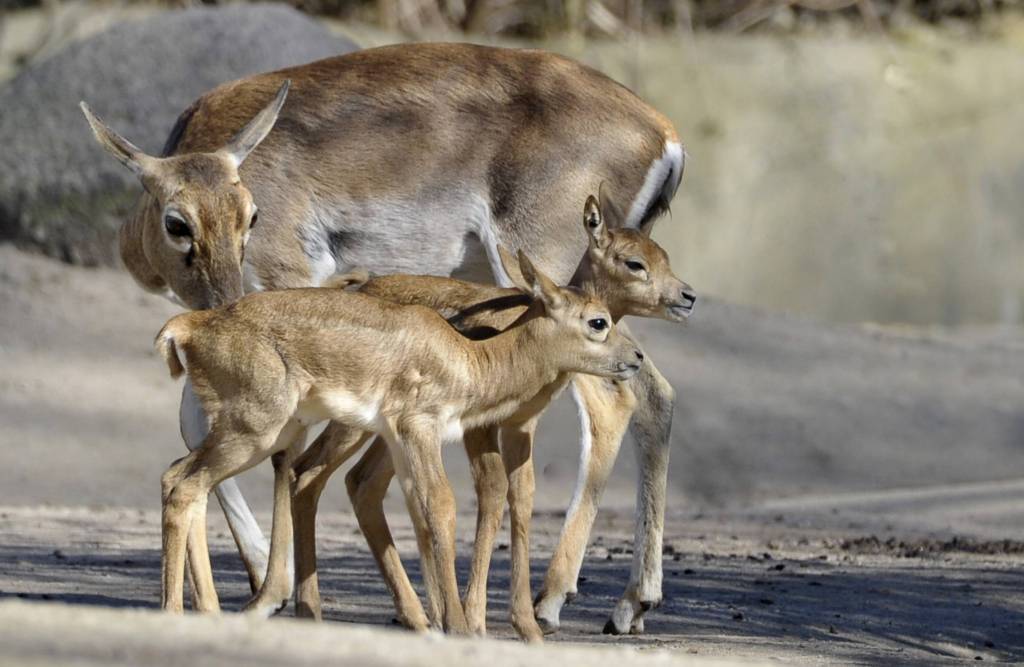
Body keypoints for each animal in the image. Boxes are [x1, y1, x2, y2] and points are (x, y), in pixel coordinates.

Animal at [151, 249, 638, 631]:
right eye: (598, 322)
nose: (635, 358)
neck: (468, 356)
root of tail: (190, 325)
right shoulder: (419, 430)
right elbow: (441, 507)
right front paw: (458, 625)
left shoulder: (401, 443)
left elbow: (418, 512)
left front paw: (440, 620)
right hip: (255, 431)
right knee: (184, 485)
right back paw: (178, 612)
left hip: (263, 433)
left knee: (185, 481)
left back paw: (213, 611)